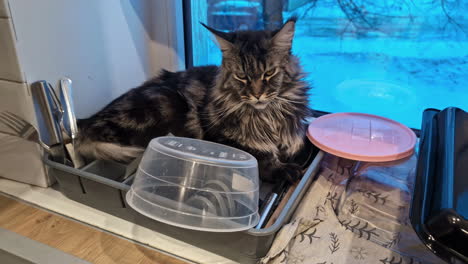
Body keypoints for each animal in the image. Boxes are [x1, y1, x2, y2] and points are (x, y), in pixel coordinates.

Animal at [77, 18, 314, 183]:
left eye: (269, 73)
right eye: (241, 76)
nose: (257, 95)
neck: (268, 116)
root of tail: (86, 123)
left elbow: (301, 145)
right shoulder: (220, 139)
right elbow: (259, 156)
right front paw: (283, 170)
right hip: (165, 103)